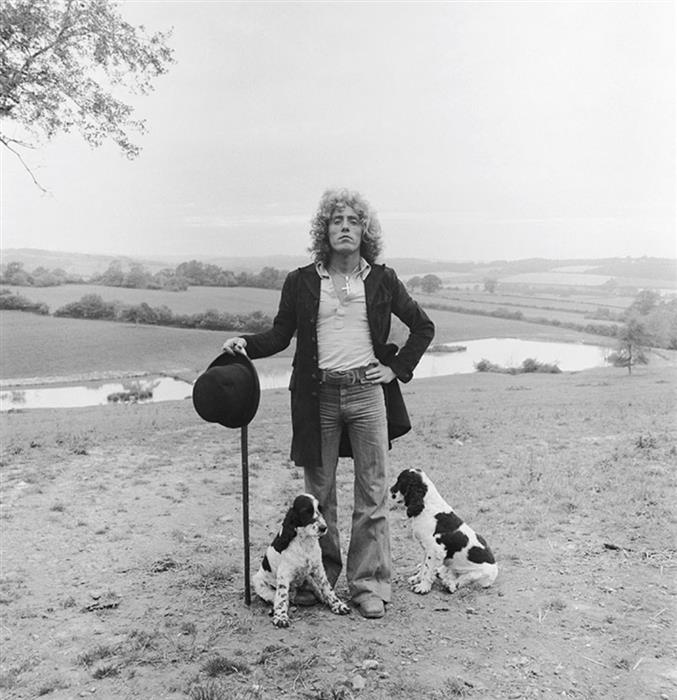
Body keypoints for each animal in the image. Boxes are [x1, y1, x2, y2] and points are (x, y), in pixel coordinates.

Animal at [251, 492, 352, 628]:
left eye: (319, 510)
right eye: (306, 512)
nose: (323, 528)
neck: (305, 542)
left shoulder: (318, 569)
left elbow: (327, 588)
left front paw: (338, 605)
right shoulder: (284, 575)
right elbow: (281, 597)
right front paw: (281, 617)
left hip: (309, 578)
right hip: (259, 583)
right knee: (279, 597)